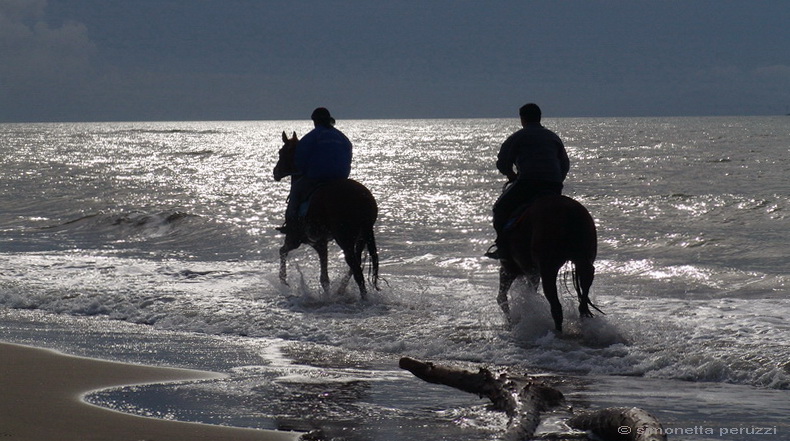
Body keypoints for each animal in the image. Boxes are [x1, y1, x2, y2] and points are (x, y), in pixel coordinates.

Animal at [276, 129, 380, 298]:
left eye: (282, 152)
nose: (275, 172)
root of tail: (363, 198)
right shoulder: (322, 242)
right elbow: (324, 278)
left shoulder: (299, 239)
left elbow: (283, 251)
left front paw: (283, 279)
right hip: (361, 237)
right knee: (355, 265)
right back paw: (342, 290)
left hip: (344, 239)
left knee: (356, 269)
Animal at [498, 194, 604, 332]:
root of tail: (570, 212)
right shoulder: (530, 272)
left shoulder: (516, 269)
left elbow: (505, 297)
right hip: (583, 260)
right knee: (585, 286)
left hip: (548, 268)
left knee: (555, 306)